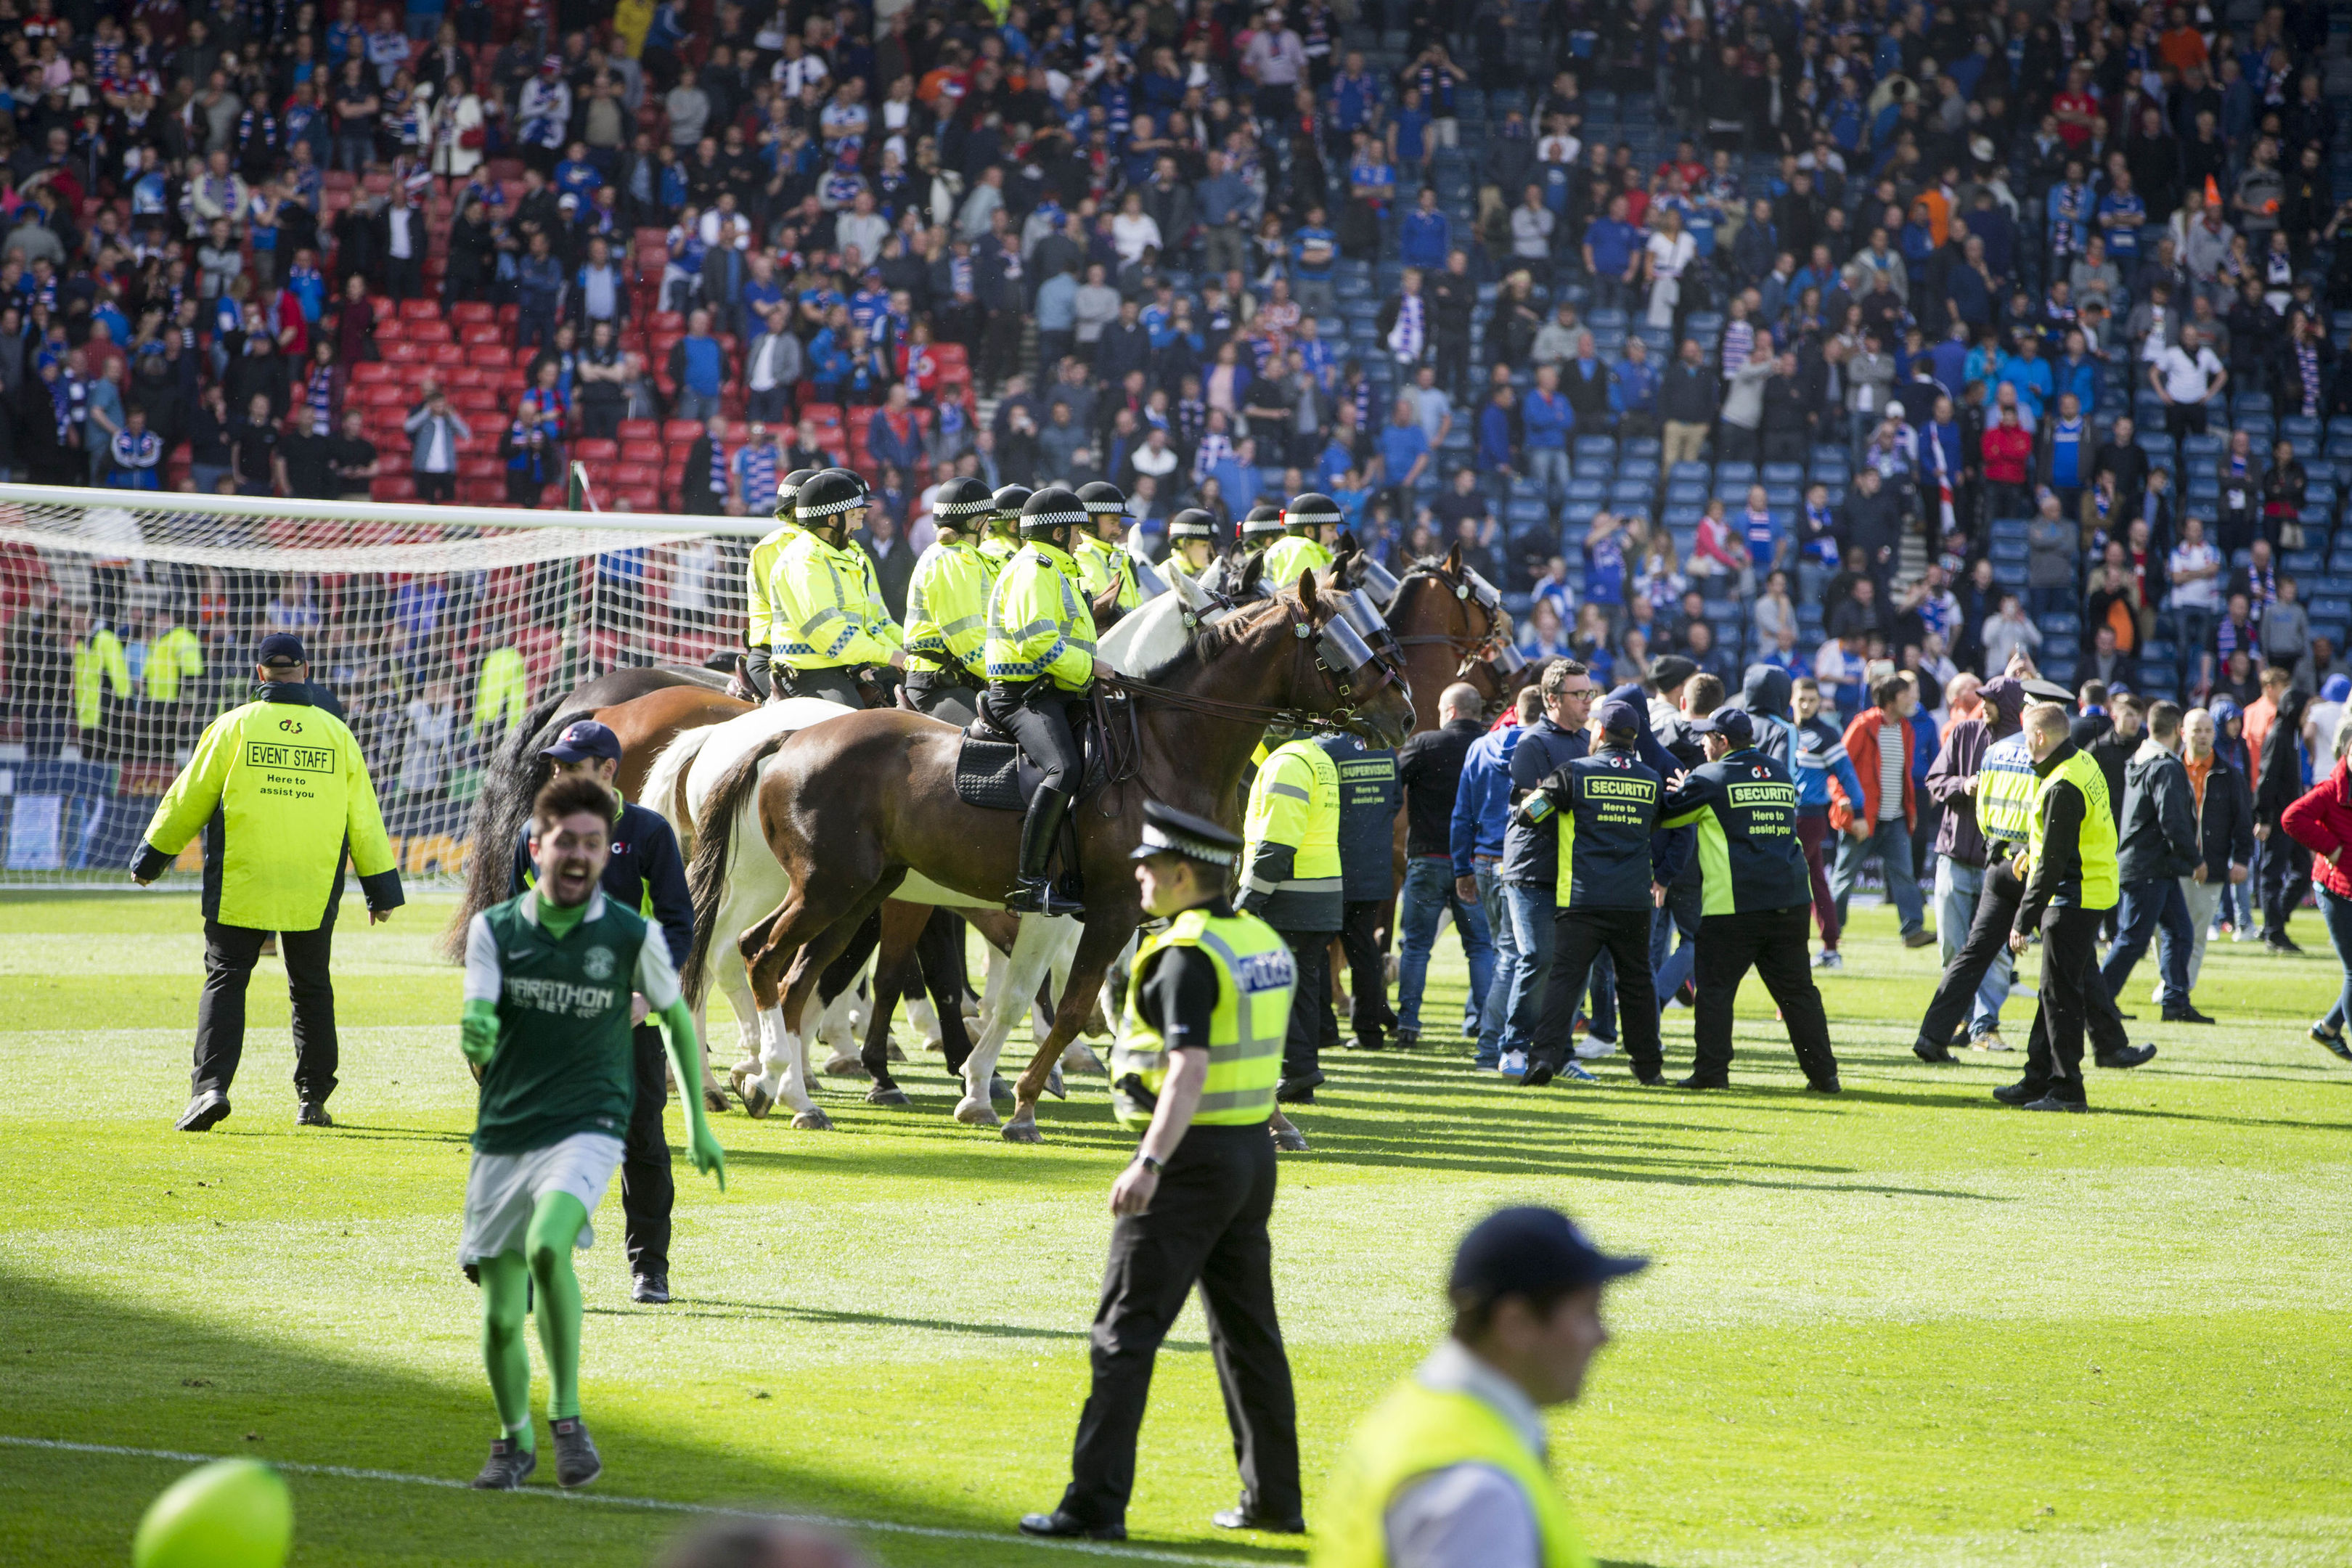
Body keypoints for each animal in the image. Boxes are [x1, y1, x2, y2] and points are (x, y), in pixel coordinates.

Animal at [682, 564, 1411, 1142]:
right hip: (821, 890)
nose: (1404, 716)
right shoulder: (1109, 911)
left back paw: (787, 1089)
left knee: (795, 977)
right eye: (1337, 644)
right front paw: (1023, 1102)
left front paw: (1270, 1117)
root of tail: (786, 738)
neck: (1171, 751)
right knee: (754, 957)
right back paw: (761, 1077)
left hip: (858, 896)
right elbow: (1068, 1006)